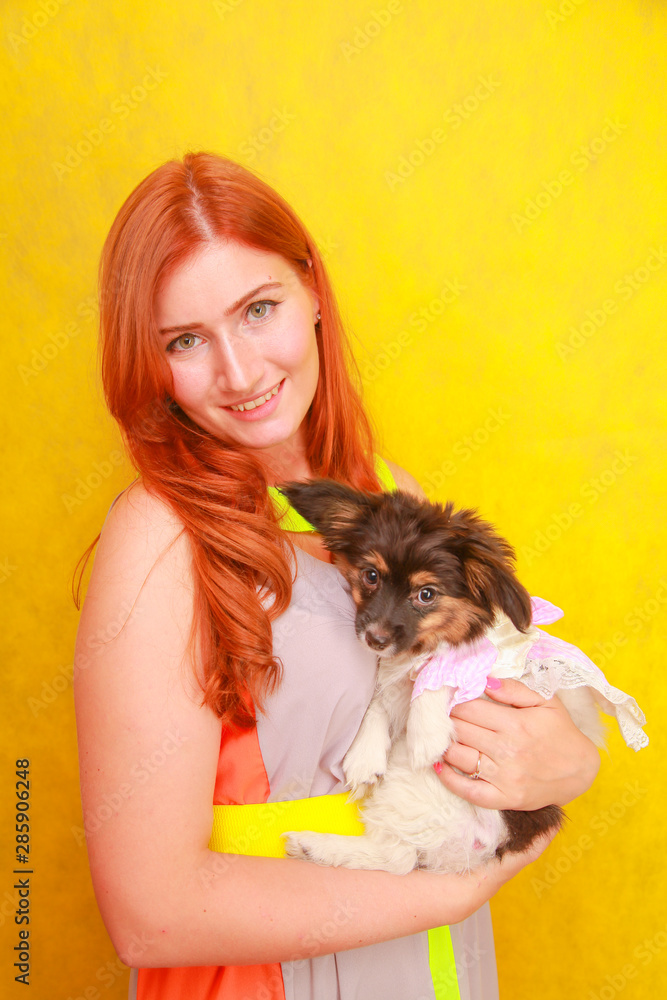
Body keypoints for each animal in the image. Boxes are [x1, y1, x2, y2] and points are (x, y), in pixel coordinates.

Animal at [278, 480, 648, 872]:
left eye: (426, 594)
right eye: (371, 575)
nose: (374, 639)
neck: (419, 648)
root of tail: (490, 843)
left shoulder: (506, 668)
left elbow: (442, 671)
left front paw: (426, 733)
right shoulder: (388, 673)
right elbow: (380, 698)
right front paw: (364, 756)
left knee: (399, 857)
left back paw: (314, 844)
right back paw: (314, 847)